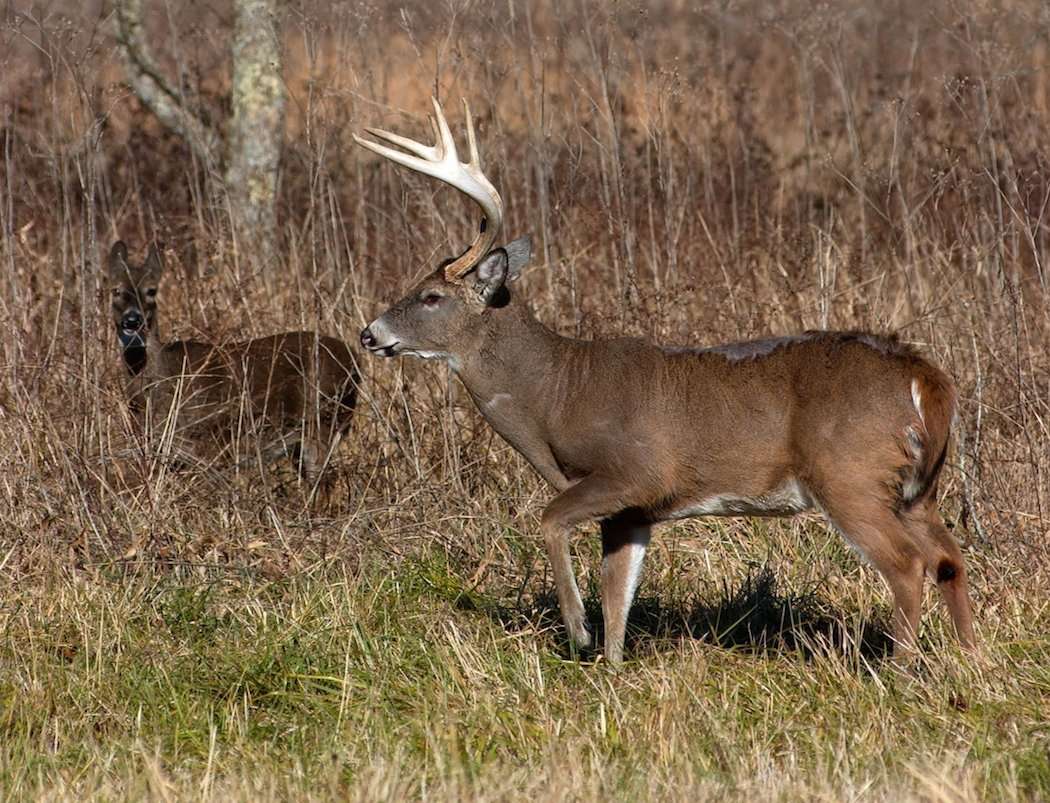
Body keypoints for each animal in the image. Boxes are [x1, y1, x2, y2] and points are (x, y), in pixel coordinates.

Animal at [352, 98, 974, 663]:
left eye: (431, 296)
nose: (369, 333)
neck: (555, 393)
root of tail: (925, 378)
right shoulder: (633, 514)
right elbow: (618, 598)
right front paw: (609, 668)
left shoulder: (635, 471)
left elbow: (551, 521)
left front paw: (577, 630)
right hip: (915, 487)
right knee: (950, 557)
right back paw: (969, 663)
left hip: (849, 473)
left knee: (908, 564)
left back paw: (898, 669)